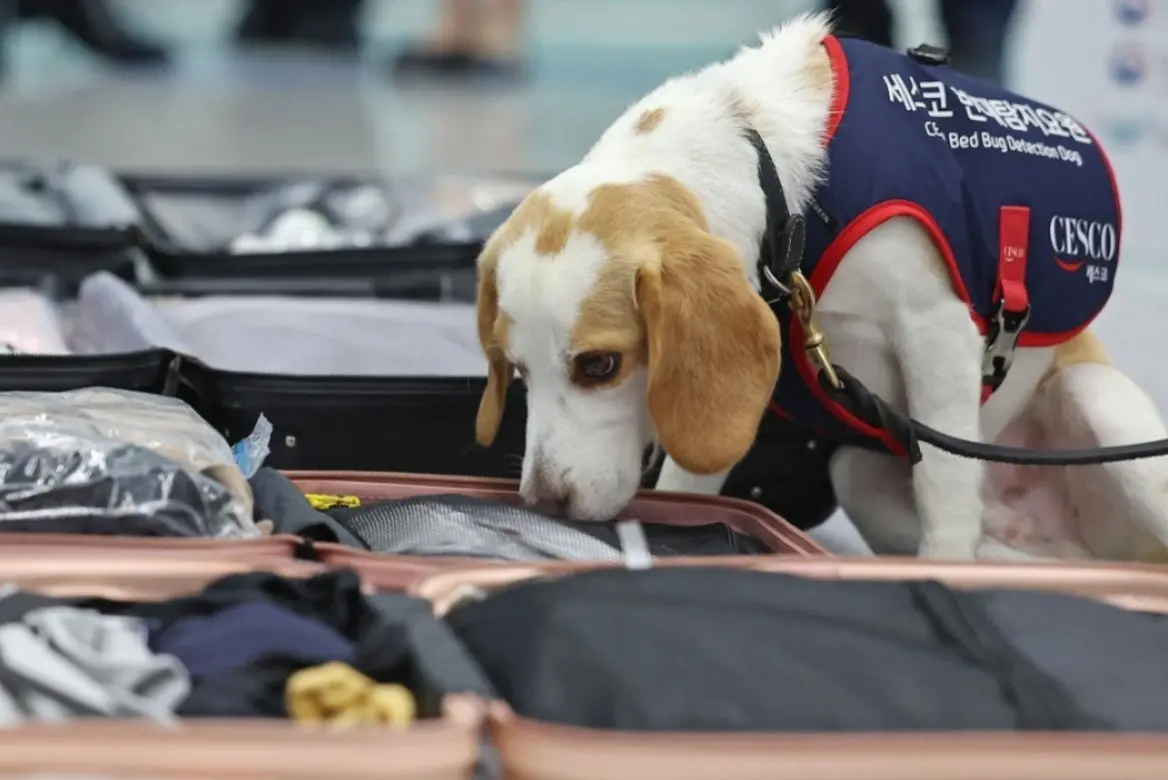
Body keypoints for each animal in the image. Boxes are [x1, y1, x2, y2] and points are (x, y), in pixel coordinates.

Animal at [469, 13, 1168, 560]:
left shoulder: (937, 331)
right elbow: (689, 487)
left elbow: (944, 489)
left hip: (1097, 402)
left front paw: (944, 566)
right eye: (516, 371)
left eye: (600, 366)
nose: (545, 503)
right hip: (860, 472)